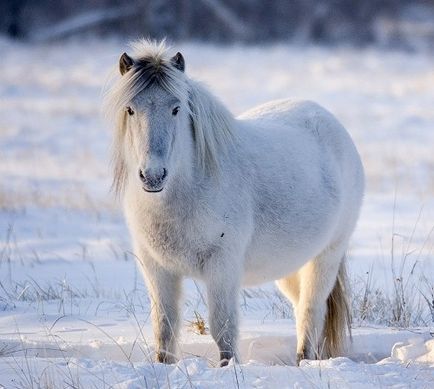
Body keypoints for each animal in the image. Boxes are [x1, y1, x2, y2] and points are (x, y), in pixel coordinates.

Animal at [104, 41, 362, 366]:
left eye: (176, 109)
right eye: (130, 109)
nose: (153, 175)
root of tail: (329, 122)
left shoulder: (222, 265)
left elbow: (222, 329)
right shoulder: (157, 268)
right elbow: (164, 328)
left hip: (326, 256)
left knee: (311, 312)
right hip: (293, 267)